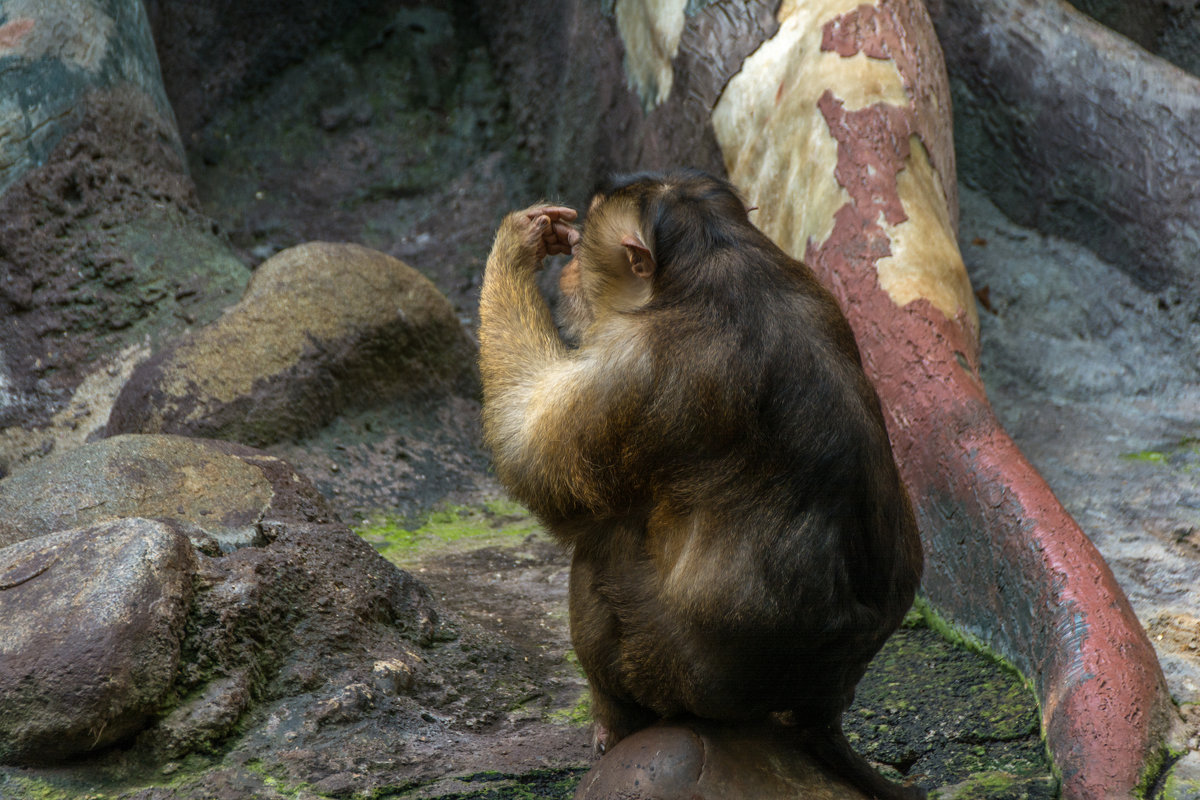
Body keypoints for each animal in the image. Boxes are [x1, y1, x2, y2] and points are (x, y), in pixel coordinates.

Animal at [477, 170, 926, 800]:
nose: (565, 273)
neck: (713, 254)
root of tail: (823, 701)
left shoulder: (634, 366)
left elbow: (531, 458)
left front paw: (518, 244)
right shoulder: (813, 284)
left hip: (662, 668)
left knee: (602, 547)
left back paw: (615, 723)